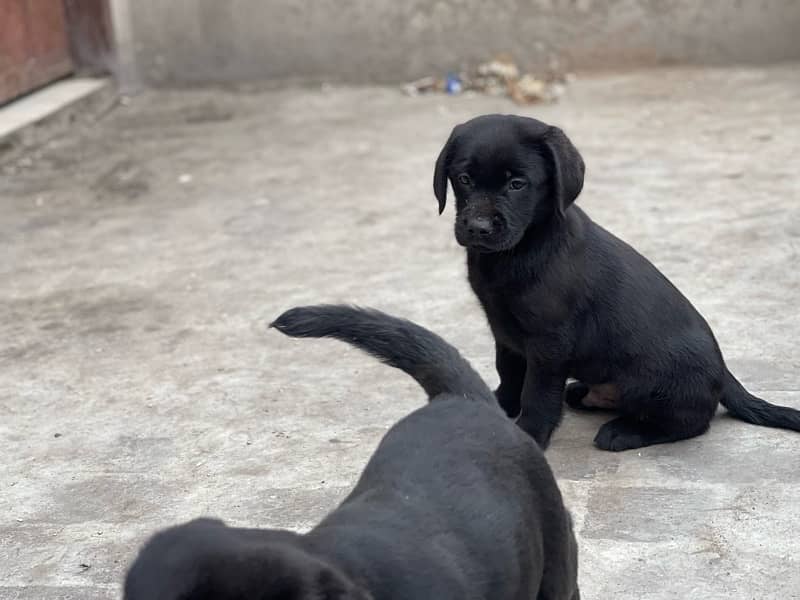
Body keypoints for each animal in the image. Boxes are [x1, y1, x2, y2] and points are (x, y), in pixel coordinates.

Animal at [434, 113, 800, 450]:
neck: (521, 249)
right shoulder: (504, 331)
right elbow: (509, 373)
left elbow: (537, 394)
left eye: (517, 184)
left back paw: (624, 432)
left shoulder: (549, 342)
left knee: (691, 421)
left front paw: (530, 435)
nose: (478, 227)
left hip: (656, 383)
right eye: (464, 179)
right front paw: (497, 408)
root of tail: (724, 373)